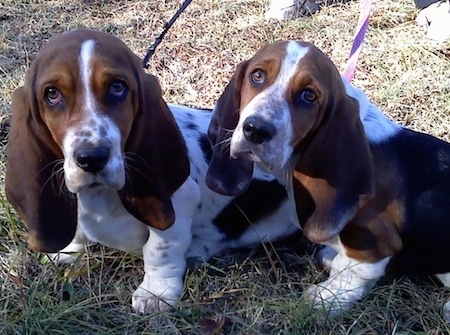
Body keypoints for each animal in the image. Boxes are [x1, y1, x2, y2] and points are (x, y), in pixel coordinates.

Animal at [4, 28, 298, 316]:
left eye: (118, 87)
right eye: (52, 94)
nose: (92, 158)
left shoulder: (178, 202)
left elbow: (160, 248)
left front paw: (155, 294)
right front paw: (67, 250)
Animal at [206, 39, 450, 320]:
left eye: (309, 96)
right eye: (257, 76)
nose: (256, 130)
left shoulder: (377, 242)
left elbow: (354, 272)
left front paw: (324, 298)